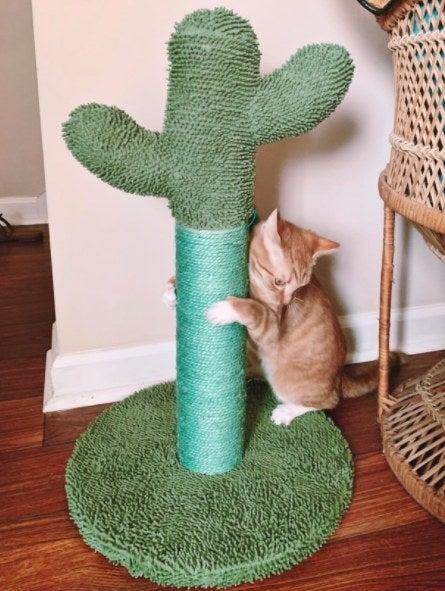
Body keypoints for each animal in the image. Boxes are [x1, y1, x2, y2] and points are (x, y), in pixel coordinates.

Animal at [206, 208, 384, 426]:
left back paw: (285, 411)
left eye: (300, 287)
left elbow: (254, 309)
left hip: (286, 381)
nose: (286, 302)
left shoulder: (271, 328)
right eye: (279, 282)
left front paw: (226, 309)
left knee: (328, 401)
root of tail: (339, 378)